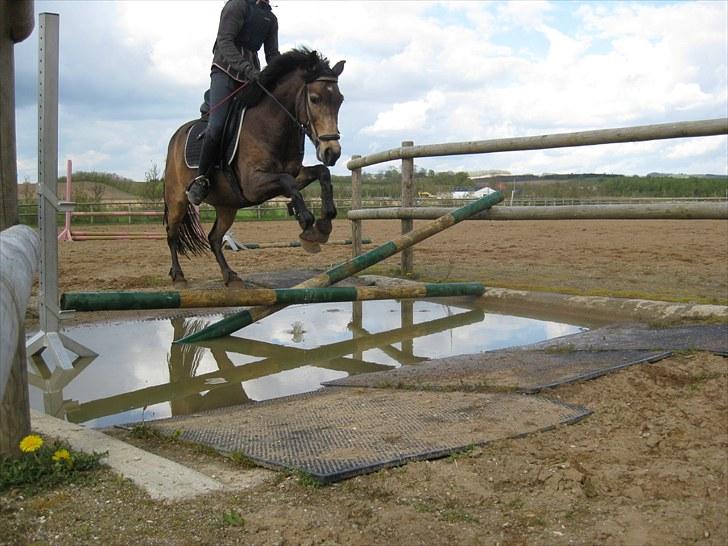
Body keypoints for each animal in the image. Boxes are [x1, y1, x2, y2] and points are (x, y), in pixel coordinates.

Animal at [164, 49, 346, 286]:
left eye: (340, 100)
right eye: (315, 99)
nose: (332, 152)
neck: (271, 125)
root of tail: (176, 136)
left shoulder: (294, 173)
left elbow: (321, 173)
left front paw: (325, 223)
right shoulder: (253, 185)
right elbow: (288, 183)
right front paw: (307, 225)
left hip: (227, 205)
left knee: (214, 238)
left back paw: (230, 275)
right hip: (177, 199)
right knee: (172, 233)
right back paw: (178, 275)